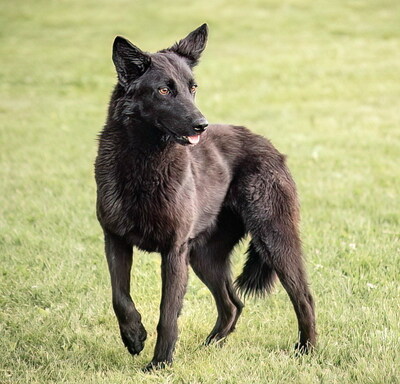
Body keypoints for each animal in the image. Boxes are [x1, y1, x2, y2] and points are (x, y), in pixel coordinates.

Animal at [94, 23, 316, 368]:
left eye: (192, 87)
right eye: (164, 90)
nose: (202, 125)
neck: (144, 161)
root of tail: (268, 144)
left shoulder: (174, 251)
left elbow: (167, 314)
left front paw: (160, 364)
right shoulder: (115, 240)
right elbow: (120, 297)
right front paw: (134, 336)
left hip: (274, 239)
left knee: (303, 297)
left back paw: (307, 349)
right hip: (204, 256)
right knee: (232, 303)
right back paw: (209, 346)